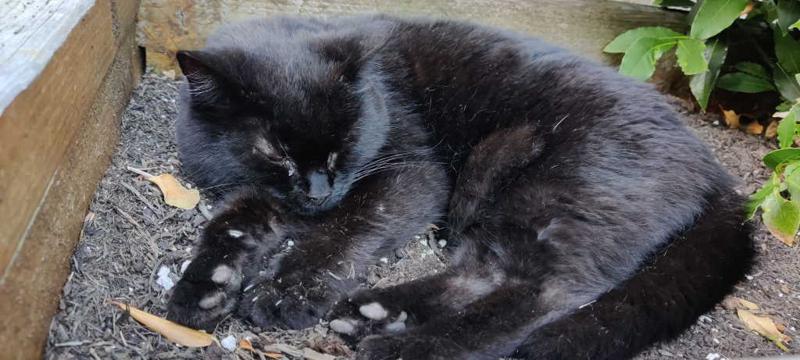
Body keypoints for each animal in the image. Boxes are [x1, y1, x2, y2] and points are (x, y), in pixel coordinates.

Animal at [166, 14, 752, 360]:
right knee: (484, 273)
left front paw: (289, 291)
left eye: (346, 139)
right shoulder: (256, 189)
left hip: (551, 193)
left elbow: (346, 229)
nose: (318, 189)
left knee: (541, 291)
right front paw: (206, 284)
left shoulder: (413, 174)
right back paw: (373, 314)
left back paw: (404, 347)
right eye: (277, 152)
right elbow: (231, 224)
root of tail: (718, 176)